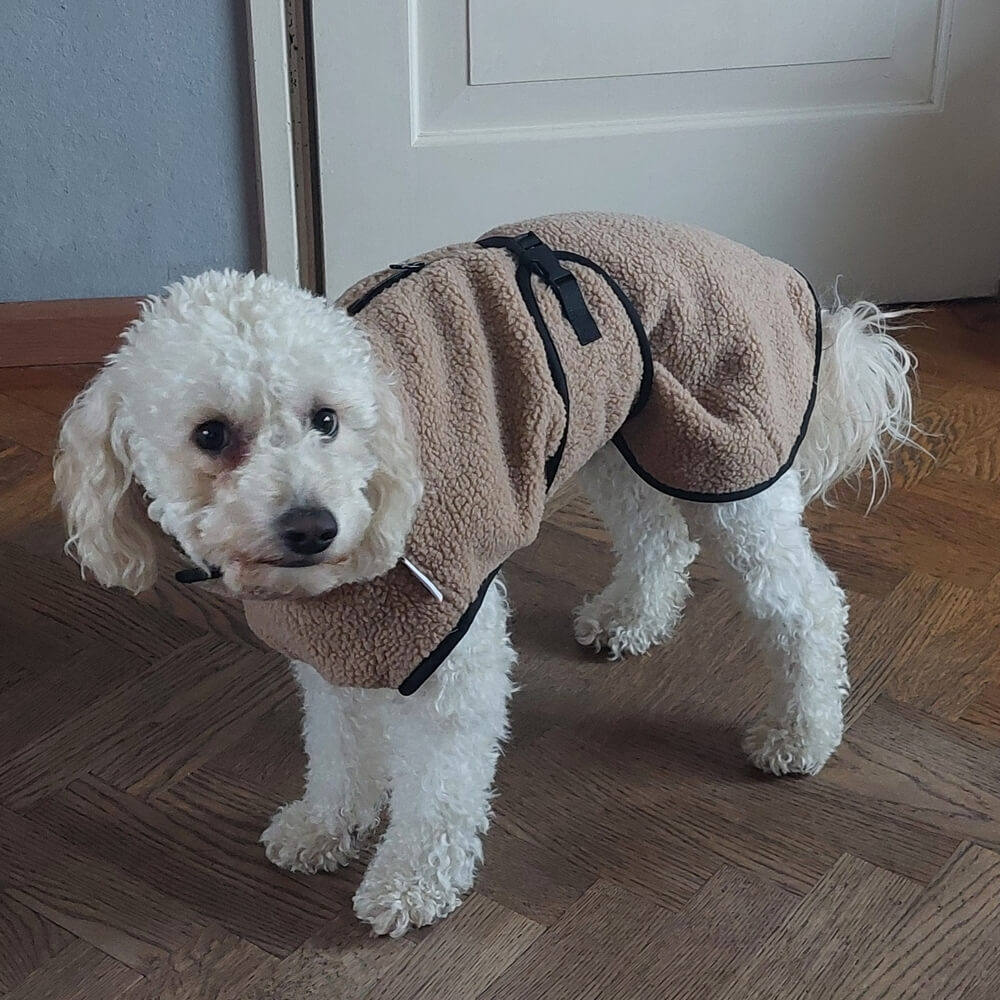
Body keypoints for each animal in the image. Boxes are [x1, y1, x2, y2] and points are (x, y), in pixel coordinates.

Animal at [53, 215, 916, 936]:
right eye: (210, 434)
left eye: (326, 418)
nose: (313, 527)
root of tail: (768, 266)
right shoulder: (333, 657)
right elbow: (339, 751)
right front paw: (326, 825)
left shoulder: (452, 658)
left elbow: (437, 792)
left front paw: (410, 885)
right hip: (616, 437)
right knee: (657, 535)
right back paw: (632, 617)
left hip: (729, 463)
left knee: (806, 604)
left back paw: (800, 733)